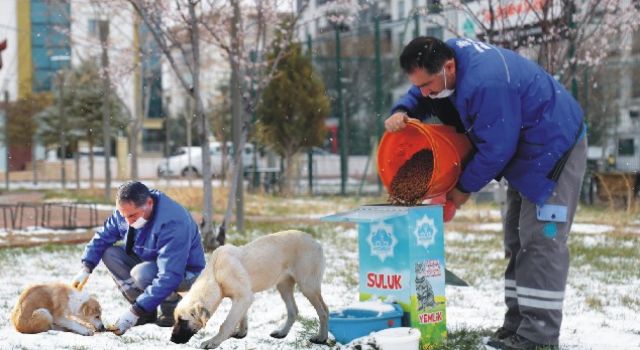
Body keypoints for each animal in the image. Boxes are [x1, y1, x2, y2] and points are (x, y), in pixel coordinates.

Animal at [170, 231, 328, 348]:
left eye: (182, 321)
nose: (172, 339)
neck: (215, 274)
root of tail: (315, 241)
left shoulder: (244, 296)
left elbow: (227, 323)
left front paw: (213, 342)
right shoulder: (243, 298)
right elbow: (241, 316)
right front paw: (241, 333)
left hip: (308, 286)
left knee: (324, 311)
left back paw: (321, 338)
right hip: (284, 286)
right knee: (293, 310)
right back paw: (282, 333)